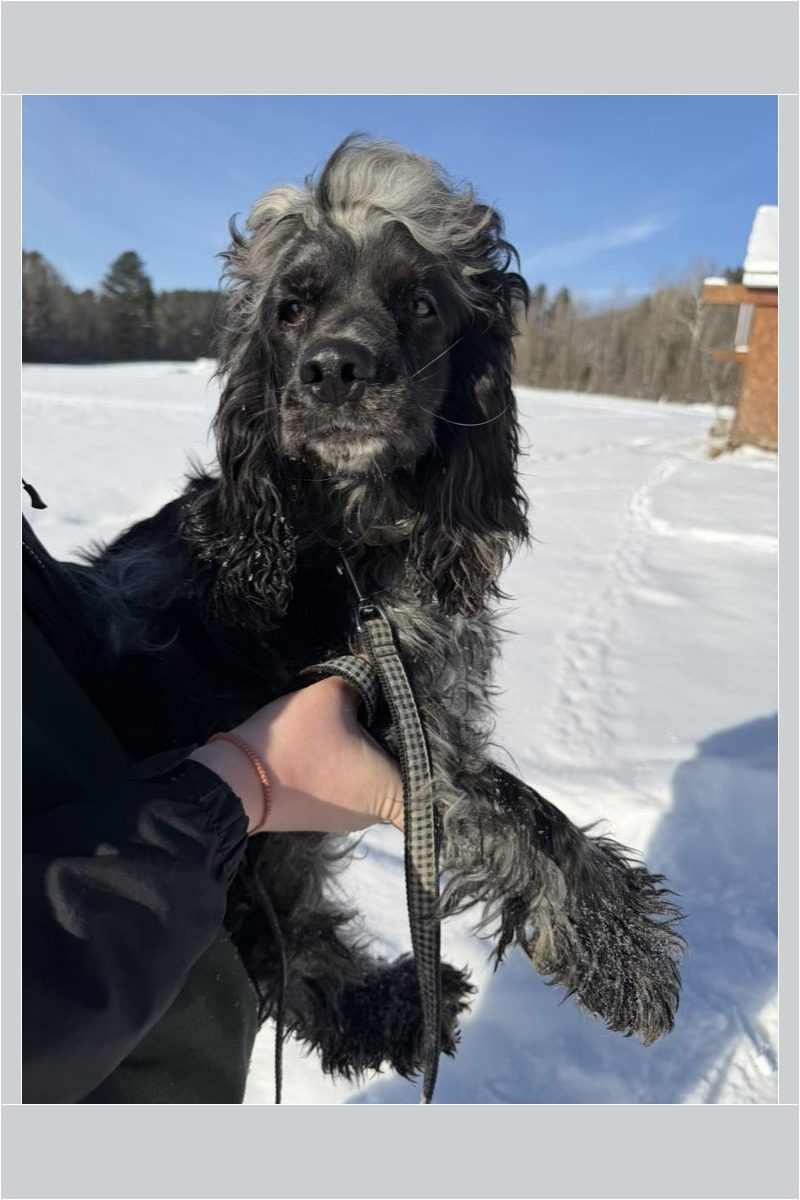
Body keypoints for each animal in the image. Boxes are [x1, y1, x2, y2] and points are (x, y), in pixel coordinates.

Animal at [76, 135, 684, 1083]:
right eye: (291, 310)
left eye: (422, 304)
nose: (335, 369)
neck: (350, 538)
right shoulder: (403, 722)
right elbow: (521, 811)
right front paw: (626, 948)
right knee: (273, 946)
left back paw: (390, 1011)